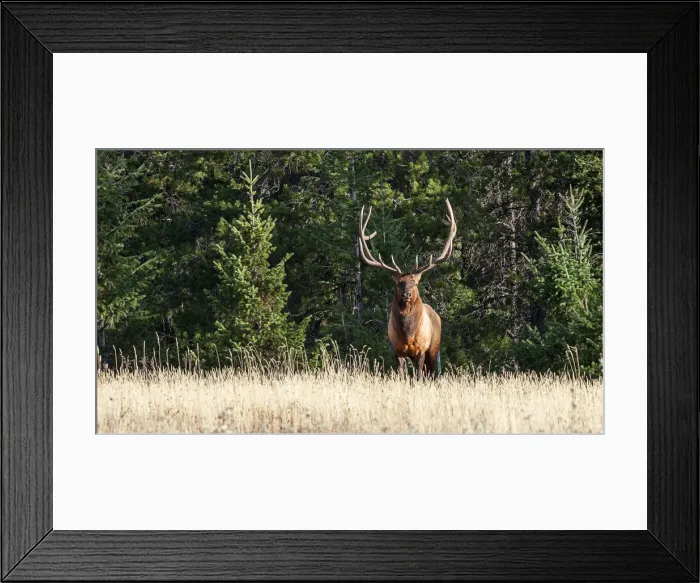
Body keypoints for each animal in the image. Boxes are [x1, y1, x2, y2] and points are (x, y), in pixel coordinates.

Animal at [359, 199, 457, 380]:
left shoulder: (421, 350)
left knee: (430, 372)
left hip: (434, 348)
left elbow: (418, 376)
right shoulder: (397, 350)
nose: (407, 294)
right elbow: (401, 375)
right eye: (399, 283)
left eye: (415, 283)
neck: (408, 334)